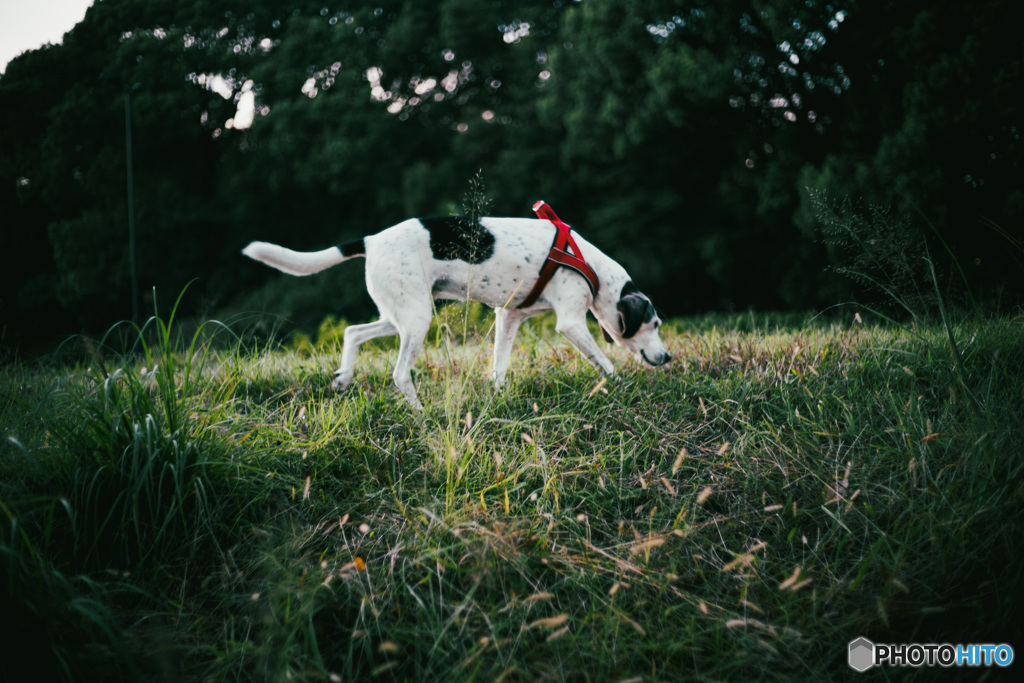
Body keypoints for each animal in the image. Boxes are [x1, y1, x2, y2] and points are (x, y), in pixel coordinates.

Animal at [241, 209, 671, 411]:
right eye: (654, 323)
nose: (667, 357)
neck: (588, 264)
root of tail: (371, 239)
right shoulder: (570, 324)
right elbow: (606, 362)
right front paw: (619, 386)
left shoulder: (509, 318)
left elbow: (498, 368)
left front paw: (499, 396)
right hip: (417, 320)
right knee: (399, 374)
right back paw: (419, 412)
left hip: (401, 315)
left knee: (353, 332)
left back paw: (344, 377)